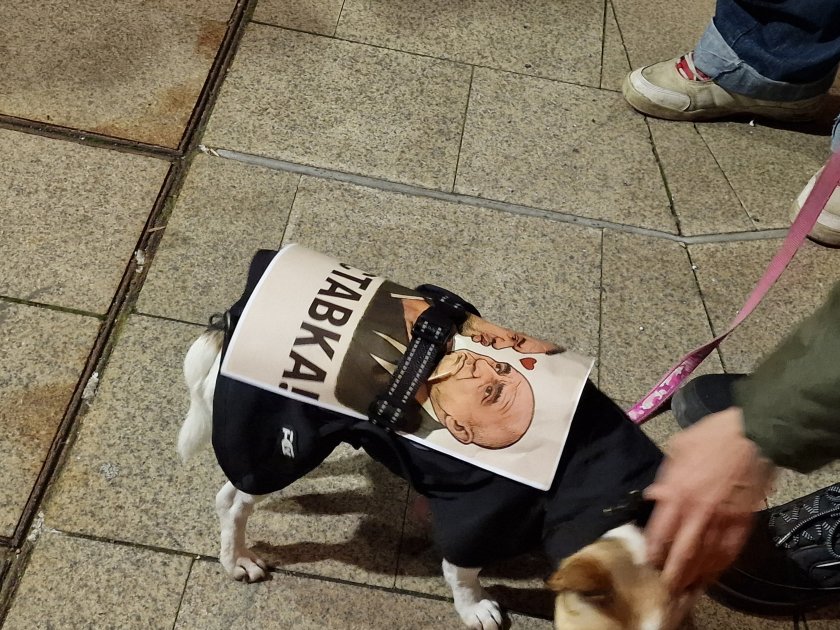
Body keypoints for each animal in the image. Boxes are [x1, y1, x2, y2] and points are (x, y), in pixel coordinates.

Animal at [177, 249, 698, 629]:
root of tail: (235, 312)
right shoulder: (477, 519)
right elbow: (462, 573)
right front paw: (476, 609)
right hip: (280, 443)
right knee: (233, 500)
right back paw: (238, 560)